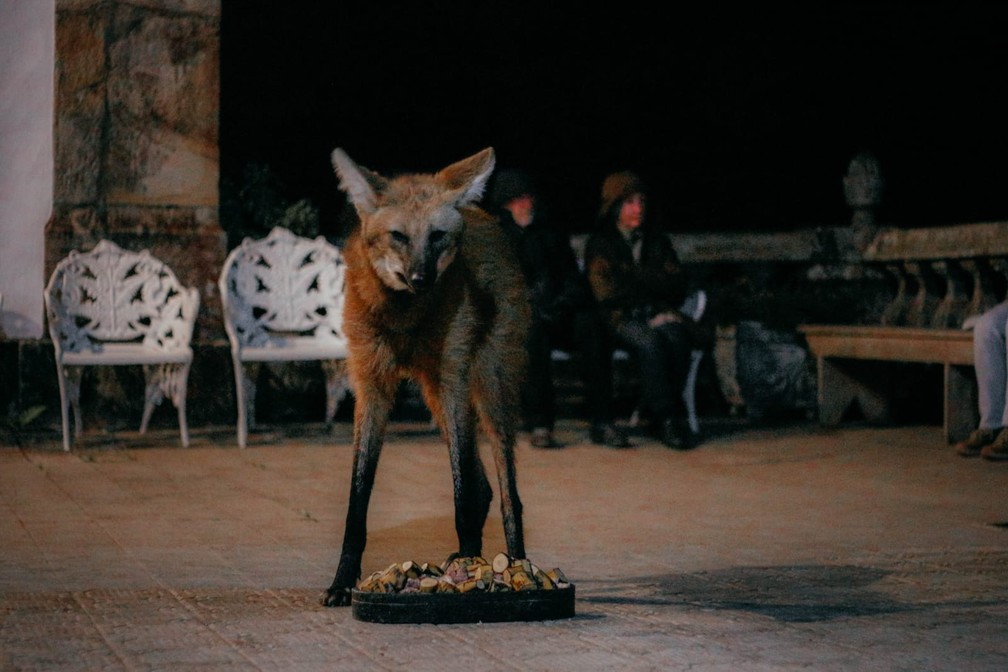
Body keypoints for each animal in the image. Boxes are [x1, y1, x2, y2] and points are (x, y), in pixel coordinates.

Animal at [322, 145, 532, 608]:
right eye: (399, 236)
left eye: (436, 236)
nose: (422, 278)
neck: (403, 318)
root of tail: (484, 216)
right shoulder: (372, 386)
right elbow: (357, 501)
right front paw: (342, 582)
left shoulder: (452, 378)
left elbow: (460, 494)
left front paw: (473, 574)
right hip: (433, 394)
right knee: (483, 486)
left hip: (486, 385)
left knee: (506, 492)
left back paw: (517, 567)